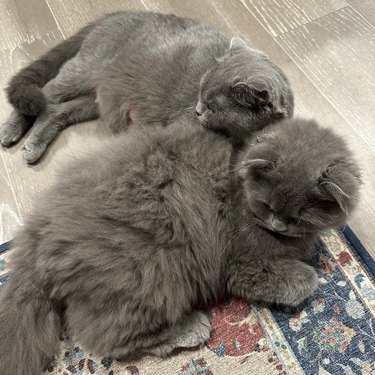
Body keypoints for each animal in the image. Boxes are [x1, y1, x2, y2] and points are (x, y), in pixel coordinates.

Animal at [0, 11, 294, 163]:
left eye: (212, 106)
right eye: (201, 95)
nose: (198, 110)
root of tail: (114, 13)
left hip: (96, 99)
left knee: (56, 111)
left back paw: (34, 144)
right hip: (82, 71)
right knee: (45, 94)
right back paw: (12, 131)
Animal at [0, 117, 362, 375]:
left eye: (297, 217)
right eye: (268, 206)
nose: (278, 225)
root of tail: (37, 234)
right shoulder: (242, 264)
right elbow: (303, 280)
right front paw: (310, 274)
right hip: (151, 270)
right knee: (104, 335)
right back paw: (191, 329)